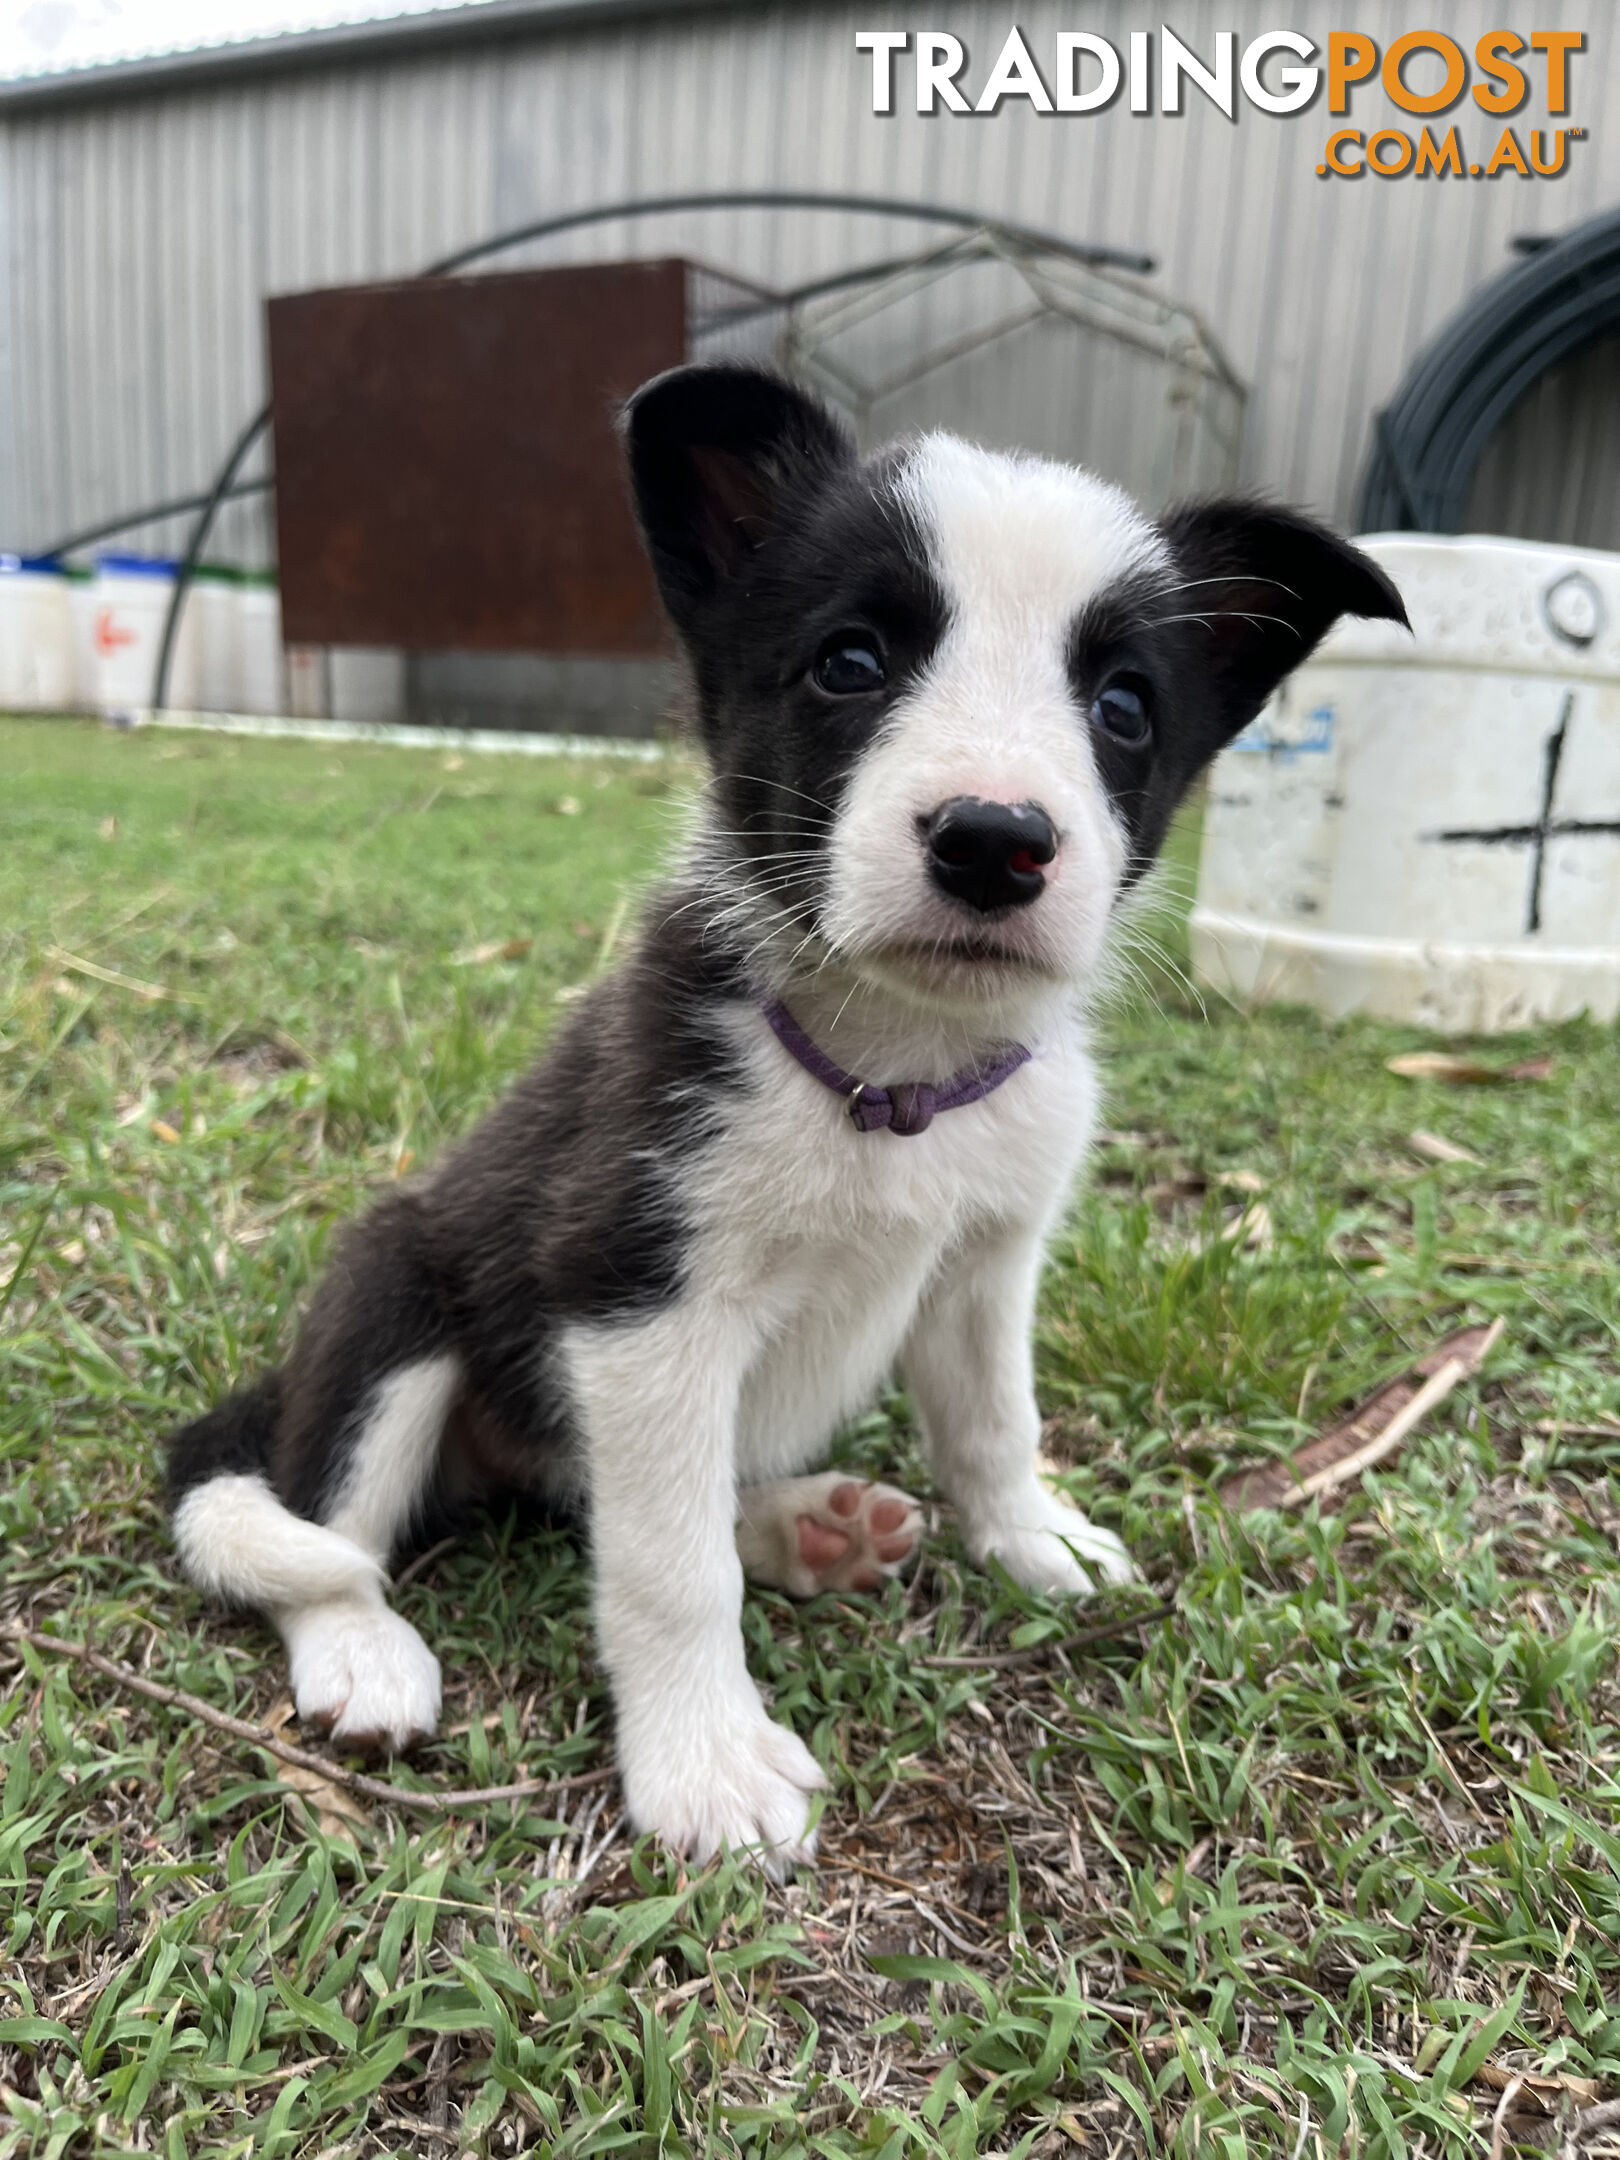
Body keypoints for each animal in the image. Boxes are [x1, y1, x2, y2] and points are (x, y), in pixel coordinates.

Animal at [168, 358, 1408, 1874]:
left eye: (1123, 705)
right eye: (851, 663)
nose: (994, 840)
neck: (897, 1071)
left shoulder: (988, 1265)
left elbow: (994, 1423)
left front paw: (1033, 1540)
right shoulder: (636, 1299)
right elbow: (666, 1566)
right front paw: (704, 1762)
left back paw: (803, 1528)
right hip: (392, 1300)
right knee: (323, 1525)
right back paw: (364, 1651)